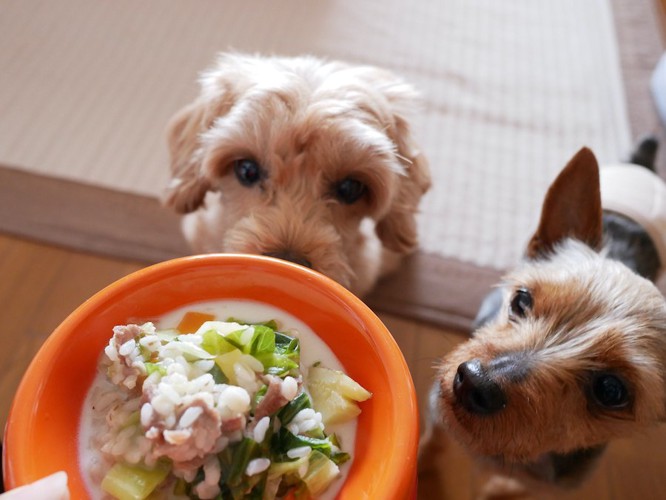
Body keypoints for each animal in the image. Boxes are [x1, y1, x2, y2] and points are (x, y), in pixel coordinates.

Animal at [420, 138, 664, 496]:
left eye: (610, 390)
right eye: (521, 300)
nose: (473, 380)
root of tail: (642, 164)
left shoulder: (550, 488)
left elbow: (513, 489)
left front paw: (496, 490)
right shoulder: (438, 410)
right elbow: (431, 443)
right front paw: (419, 472)